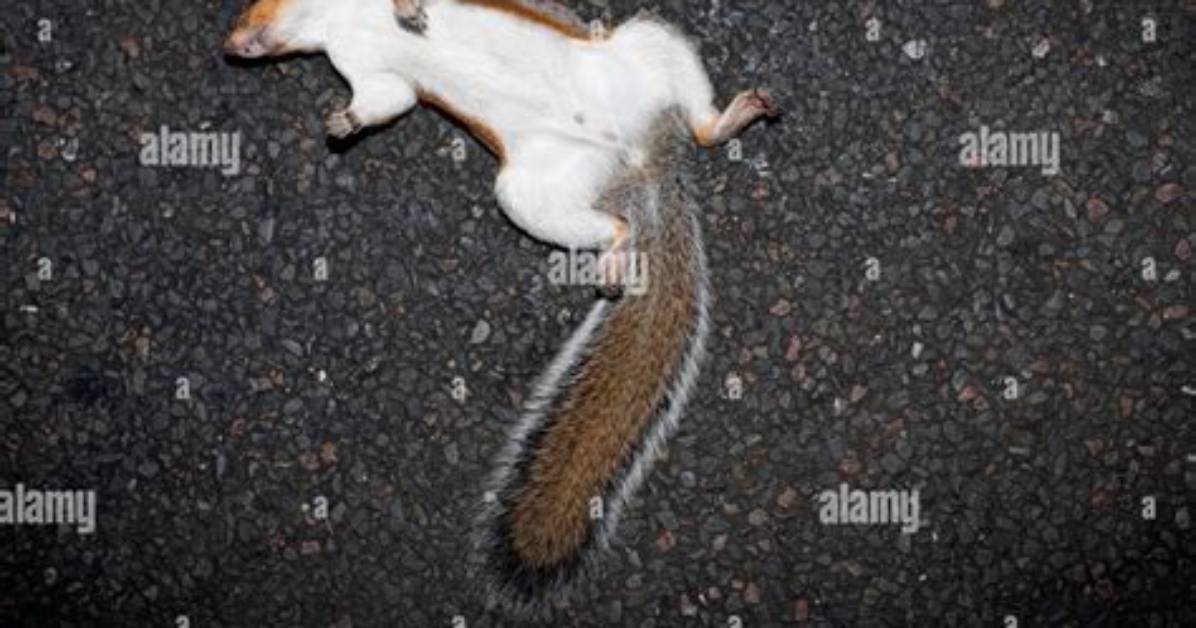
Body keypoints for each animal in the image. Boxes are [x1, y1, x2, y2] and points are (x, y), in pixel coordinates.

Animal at [225, 0, 777, 616]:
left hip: (646, 48)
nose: (232, 45)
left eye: (255, 4)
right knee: (625, 211)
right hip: (534, 192)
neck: (333, 22)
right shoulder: (370, 75)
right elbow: (385, 99)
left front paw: (408, 12)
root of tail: (639, 165)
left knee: (696, 127)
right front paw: (343, 123)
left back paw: (726, 124)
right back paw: (618, 254)